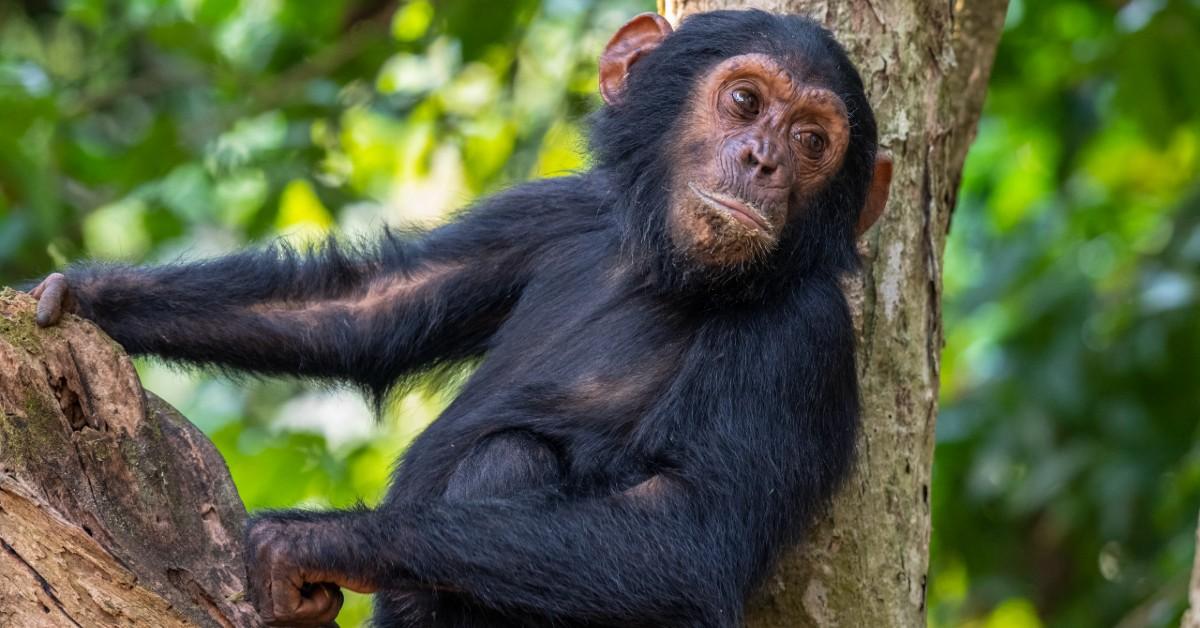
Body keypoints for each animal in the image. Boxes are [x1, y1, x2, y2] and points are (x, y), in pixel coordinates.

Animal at [30, 9, 892, 628]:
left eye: (812, 140)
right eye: (745, 100)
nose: (764, 160)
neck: (659, 267)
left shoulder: (803, 334)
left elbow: (689, 534)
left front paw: (314, 540)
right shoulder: (546, 212)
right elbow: (365, 309)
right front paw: (89, 295)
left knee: (511, 457)